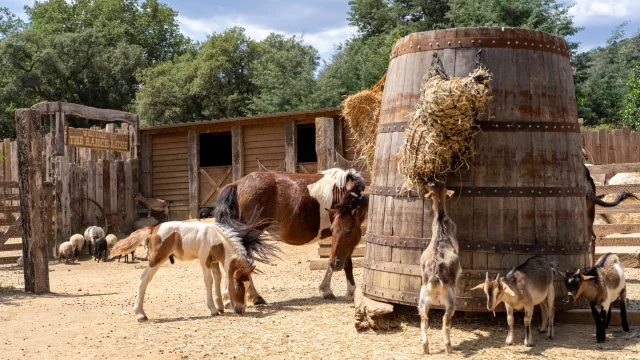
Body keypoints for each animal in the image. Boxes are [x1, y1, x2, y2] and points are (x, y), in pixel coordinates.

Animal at [112, 217, 276, 320]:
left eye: (248, 287)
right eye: (238, 287)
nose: (241, 310)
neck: (215, 239)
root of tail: (153, 229)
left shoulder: (214, 261)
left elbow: (218, 277)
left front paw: (220, 306)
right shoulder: (204, 260)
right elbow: (209, 280)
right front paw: (213, 309)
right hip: (156, 259)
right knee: (144, 278)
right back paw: (140, 314)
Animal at [214, 167, 368, 302]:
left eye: (348, 231)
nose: (336, 264)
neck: (340, 191)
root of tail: (236, 184)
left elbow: (334, 257)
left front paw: (327, 289)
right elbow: (346, 261)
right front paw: (350, 291)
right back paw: (254, 296)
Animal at [418, 181, 462, 356]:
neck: (440, 221)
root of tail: (435, 279)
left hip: (422, 300)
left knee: (424, 319)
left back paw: (425, 347)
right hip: (450, 301)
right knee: (445, 320)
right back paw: (448, 347)